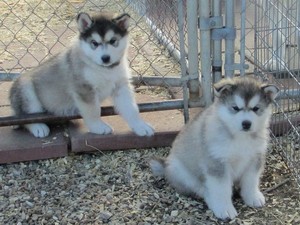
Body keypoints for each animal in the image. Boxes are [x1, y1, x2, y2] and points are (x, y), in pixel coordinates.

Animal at [9, 12, 155, 139]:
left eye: (113, 41)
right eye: (94, 43)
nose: (105, 58)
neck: (104, 69)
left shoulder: (121, 86)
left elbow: (131, 109)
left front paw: (140, 126)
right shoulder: (85, 89)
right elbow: (93, 111)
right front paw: (98, 127)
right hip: (26, 89)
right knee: (27, 118)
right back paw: (39, 127)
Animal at [150, 77, 278, 220]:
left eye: (256, 108)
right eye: (235, 108)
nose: (246, 123)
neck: (240, 137)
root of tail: (165, 165)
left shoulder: (255, 158)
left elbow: (251, 181)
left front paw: (253, 197)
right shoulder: (217, 163)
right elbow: (221, 189)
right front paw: (224, 209)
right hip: (185, 175)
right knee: (203, 190)